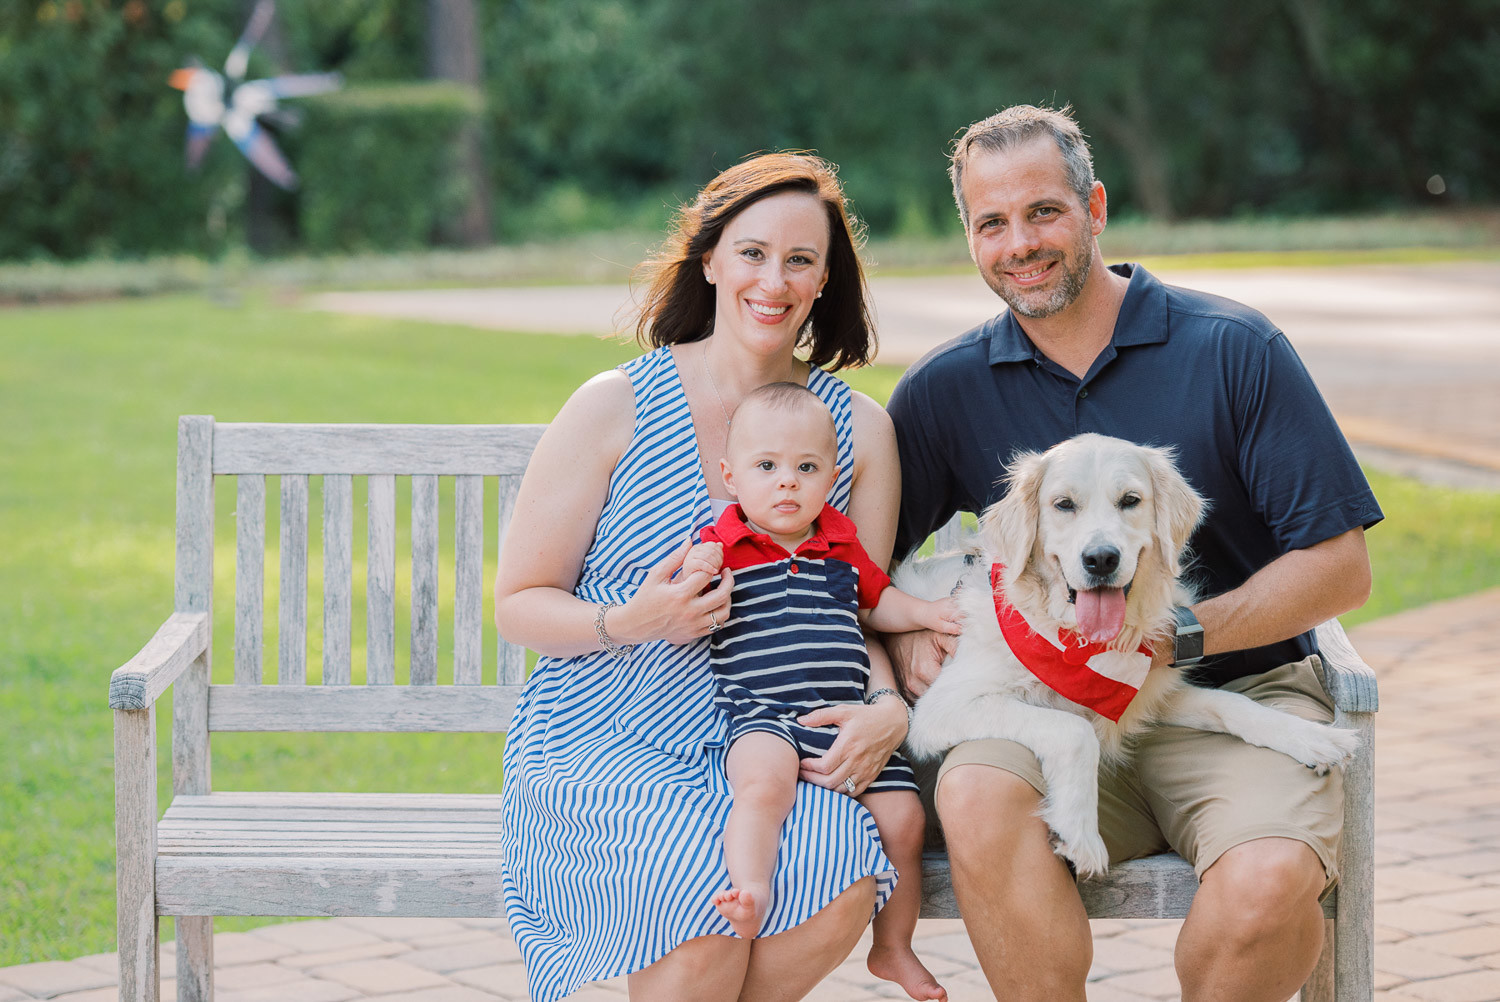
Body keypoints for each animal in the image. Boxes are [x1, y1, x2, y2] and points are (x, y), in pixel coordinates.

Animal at [894, 432, 1368, 876]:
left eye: (1130, 501)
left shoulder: (1148, 695)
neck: (1076, 641)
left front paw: (1312, 737)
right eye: (1064, 504)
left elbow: (1231, 703)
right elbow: (1074, 730)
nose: (1101, 558)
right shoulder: (941, 709)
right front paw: (1080, 831)